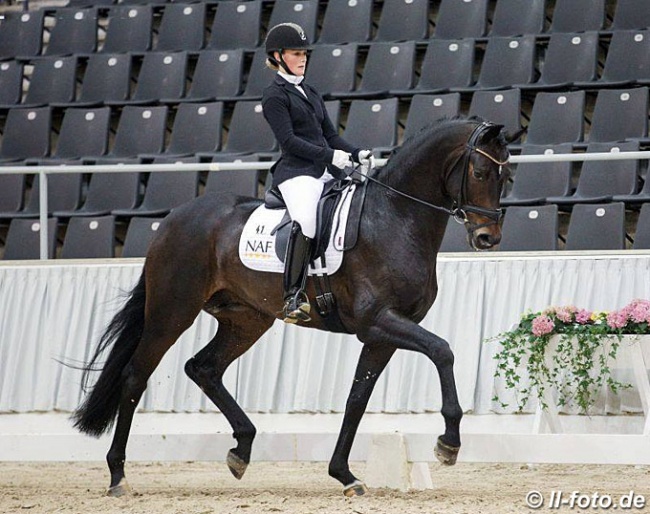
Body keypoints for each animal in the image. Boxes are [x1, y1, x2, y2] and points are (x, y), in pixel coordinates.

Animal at [69, 117, 506, 496]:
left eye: (506, 177)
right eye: (480, 173)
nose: (488, 238)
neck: (394, 218)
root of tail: (173, 219)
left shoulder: (383, 334)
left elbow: (357, 399)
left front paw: (344, 474)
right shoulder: (378, 322)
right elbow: (442, 351)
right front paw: (448, 443)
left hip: (247, 320)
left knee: (204, 368)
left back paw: (242, 450)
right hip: (171, 312)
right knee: (134, 377)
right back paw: (118, 475)